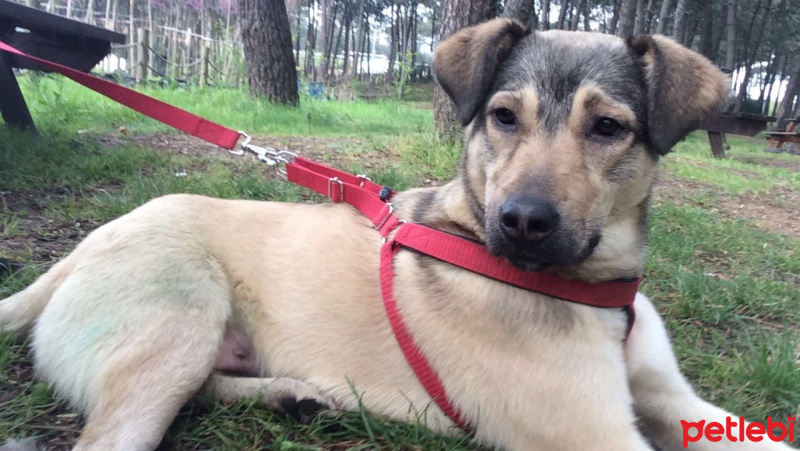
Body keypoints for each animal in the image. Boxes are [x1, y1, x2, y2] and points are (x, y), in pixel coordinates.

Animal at [0, 19, 792, 451]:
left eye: (607, 127)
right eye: (504, 116)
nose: (522, 221)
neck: (593, 290)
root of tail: (76, 253)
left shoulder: (677, 402)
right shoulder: (593, 431)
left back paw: (294, 395)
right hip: (175, 327)